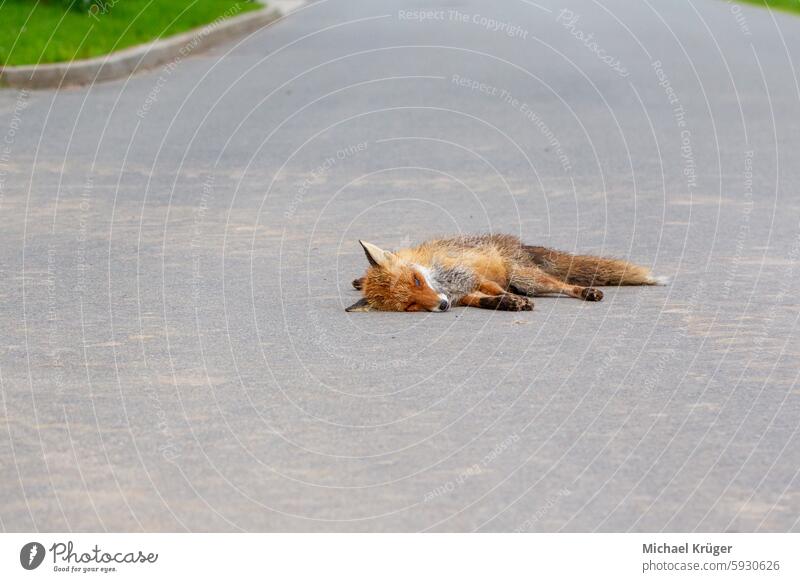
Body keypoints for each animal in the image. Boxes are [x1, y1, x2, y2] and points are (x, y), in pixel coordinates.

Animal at [346, 234, 664, 314]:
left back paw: (587, 292)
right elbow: (488, 301)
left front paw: (512, 301)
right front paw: (507, 304)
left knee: (563, 284)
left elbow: (496, 290)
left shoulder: (472, 278)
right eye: (411, 305)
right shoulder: (465, 295)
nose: (443, 306)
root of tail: (516, 243)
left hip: (527, 278)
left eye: (416, 280)